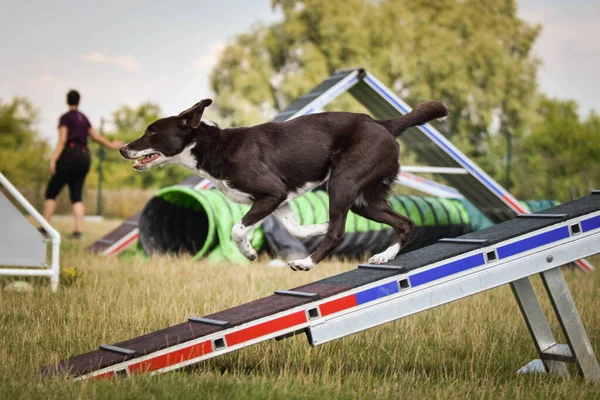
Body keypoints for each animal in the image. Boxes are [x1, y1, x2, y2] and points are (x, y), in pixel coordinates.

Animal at [119, 98, 448, 270]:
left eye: (151, 133)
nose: (122, 149)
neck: (211, 145)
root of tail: (383, 124)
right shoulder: (280, 200)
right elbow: (295, 228)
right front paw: (318, 226)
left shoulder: (271, 193)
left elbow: (237, 228)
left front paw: (249, 253)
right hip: (365, 200)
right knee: (405, 223)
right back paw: (383, 255)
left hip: (342, 183)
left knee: (340, 232)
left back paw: (307, 263)